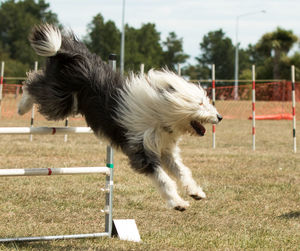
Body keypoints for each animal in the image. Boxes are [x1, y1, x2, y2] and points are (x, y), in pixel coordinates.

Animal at [18, 24, 220, 212]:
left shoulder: (165, 149)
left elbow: (182, 171)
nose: (219, 117)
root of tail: (71, 53)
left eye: (205, 101)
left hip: (70, 101)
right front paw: (178, 203)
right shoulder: (141, 150)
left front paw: (196, 192)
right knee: (34, 83)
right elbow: (163, 179)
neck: (158, 114)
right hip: (60, 99)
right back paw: (22, 106)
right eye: (200, 103)